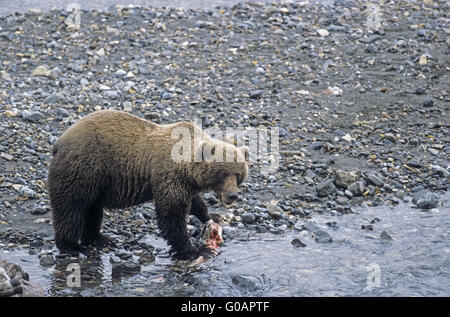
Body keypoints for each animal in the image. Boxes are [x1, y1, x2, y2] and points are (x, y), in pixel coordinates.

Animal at [48, 110, 250, 258]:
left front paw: (211, 216)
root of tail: (59, 142)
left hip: (95, 183)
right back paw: (72, 246)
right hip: (83, 169)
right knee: (71, 207)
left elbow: (195, 203)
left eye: (239, 174)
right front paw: (194, 250)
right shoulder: (170, 177)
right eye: (223, 173)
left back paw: (100, 238)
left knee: (92, 209)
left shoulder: (186, 183)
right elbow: (171, 215)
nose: (232, 195)